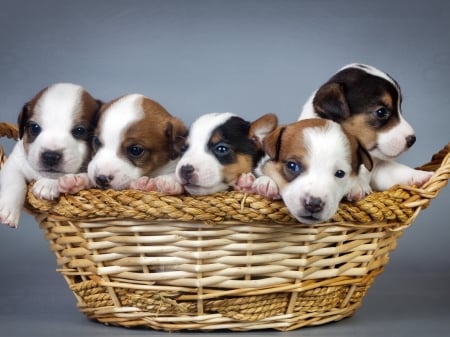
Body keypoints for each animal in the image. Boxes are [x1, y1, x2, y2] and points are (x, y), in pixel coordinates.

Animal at [0, 82, 100, 227]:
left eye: (79, 131)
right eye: (35, 128)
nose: (50, 156)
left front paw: (50, 183)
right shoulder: (14, 162)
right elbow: (14, 183)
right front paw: (9, 209)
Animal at [298, 62, 432, 197]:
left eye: (400, 108)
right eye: (381, 112)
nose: (412, 140)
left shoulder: (378, 168)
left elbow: (394, 169)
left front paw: (419, 175)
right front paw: (356, 186)